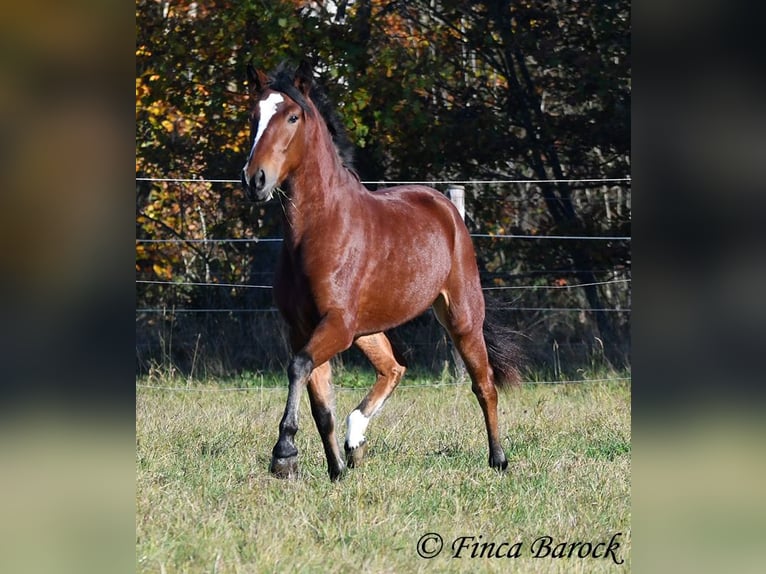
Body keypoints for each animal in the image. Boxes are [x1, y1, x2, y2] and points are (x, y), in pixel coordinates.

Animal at [243, 62, 524, 482]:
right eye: (253, 115)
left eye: (292, 117)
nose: (255, 179)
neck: (317, 230)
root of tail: (445, 206)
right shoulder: (304, 328)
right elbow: (320, 404)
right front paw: (335, 470)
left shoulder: (336, 324)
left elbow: (298, 368)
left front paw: (284, 455)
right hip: (367, 330)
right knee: (394, 368)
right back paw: (355, 440)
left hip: (460, 315)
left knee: (484, 384)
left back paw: (498, 459)